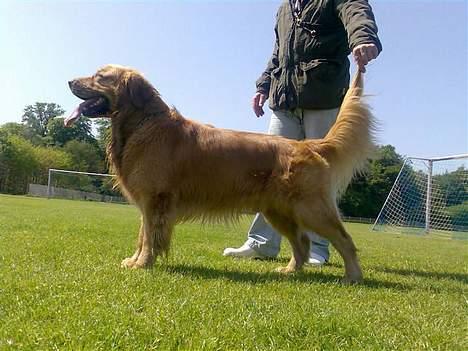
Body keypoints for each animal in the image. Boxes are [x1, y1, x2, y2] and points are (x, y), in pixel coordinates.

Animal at [66, 64, 374, 284]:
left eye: (99, 76)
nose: (69, 81)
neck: (144, 123)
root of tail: (307, 144)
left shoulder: (155, 200)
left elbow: (149, 237)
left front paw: (142, 264)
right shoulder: (148, 203)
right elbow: (143, 235)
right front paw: (136, 260)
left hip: (311, 208)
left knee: (344, 240)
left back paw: (353, 276)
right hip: (278, 212)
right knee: (302, 242)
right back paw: (290, 271)